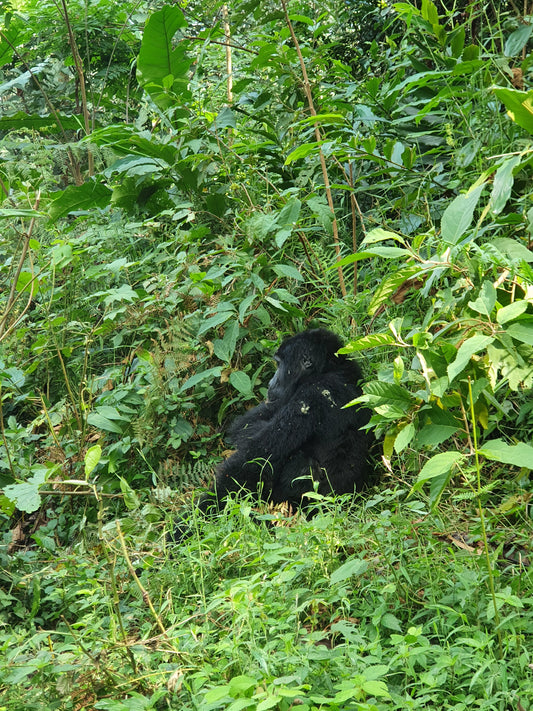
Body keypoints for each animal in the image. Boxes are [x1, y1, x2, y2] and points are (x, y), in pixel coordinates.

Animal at [202, 328, 372, 512]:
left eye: (279, 364)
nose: (271, 383)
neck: (329, 368)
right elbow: (246, 426)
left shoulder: (313, 393)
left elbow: (257, 456)